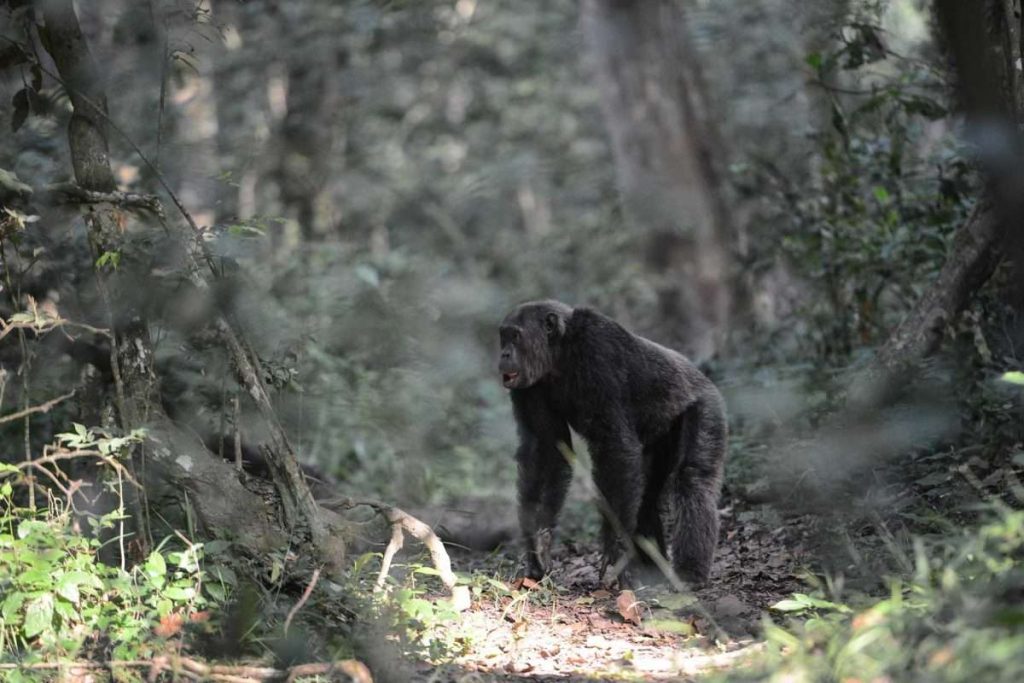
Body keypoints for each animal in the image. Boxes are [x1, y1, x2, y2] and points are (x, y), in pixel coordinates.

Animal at [498, 300, 727, 587]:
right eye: (503, 336)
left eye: (515, 336)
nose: (504, 354)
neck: (560, 355)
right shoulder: (531, 389)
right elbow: (546, 451)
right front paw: (537, 546)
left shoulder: (598, 352)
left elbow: (615, 446)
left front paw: (614, 548)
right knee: (646, 497)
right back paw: (652, 570)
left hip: (707, 407)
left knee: (693, 478)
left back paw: (689, 573)